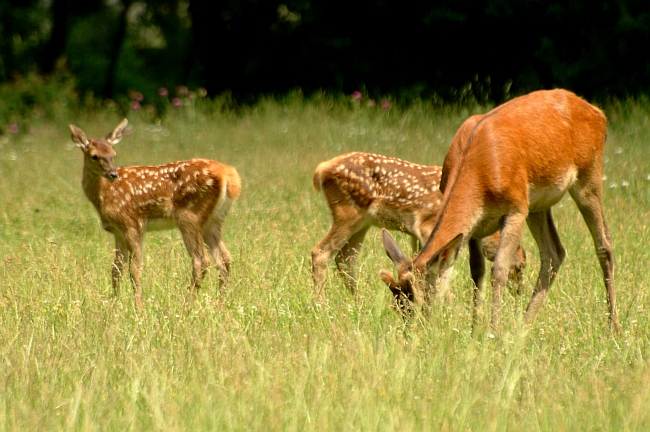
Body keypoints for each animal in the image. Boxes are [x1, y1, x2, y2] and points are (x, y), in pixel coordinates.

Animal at [69, 118, 240, 308]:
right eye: (94, 156)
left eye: (114, 154)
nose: (113, 174)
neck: (105, 195)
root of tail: (228, 174)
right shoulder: (118, 231)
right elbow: (116, 269)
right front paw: (114, 303)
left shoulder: (132, 224)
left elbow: (135, 269)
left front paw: (138, 306)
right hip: (213, 220)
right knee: (225, 259)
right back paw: (221, 302)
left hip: (189, 215)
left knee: (202, 261)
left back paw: (187, 304)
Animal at [310, 150, 528, 306]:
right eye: (521, 265)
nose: (519, 293)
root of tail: (321, 169)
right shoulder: (427, 225)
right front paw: (450, 308)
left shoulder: (415, 234)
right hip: (348, 212)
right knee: (321, 252)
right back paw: (322, 305)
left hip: (364, 222)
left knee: (345, 259)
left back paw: (359, 304)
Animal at [380, 89, 616, 332]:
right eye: (398, 305)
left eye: (421, 296)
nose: (414, 331)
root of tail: (599, 113)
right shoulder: (476, 226)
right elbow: (476, 272)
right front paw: (475, 329)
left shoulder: (516, 207)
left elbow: (499, 270)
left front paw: (493, 330)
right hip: (539, 204)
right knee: (554, 253)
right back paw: (524, 326)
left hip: (588, 174)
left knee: (604, 243)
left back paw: (612, 326)